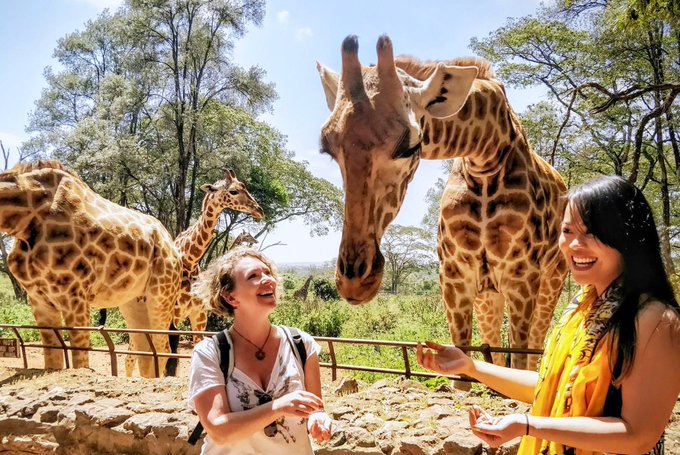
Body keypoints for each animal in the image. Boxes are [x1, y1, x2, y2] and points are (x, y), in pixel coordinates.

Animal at [0, 160, 182, 377]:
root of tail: (171, 242)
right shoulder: (38, 298)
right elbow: (53, 357)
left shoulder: (75, 295)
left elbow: (80, 357)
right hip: (133, 301)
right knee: (144, 349)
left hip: (162, 293)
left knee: (162, 347)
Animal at [172, 169, 263, 343]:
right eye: (233, 191)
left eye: (244, 186)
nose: (259, 210)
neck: (190, 260)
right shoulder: (172, 315)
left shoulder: (200, 315)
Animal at [317, 35, 567, 370]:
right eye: (327, 147)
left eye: (410, 146)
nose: (354, 283)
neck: (485, 158)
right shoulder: (454, 277)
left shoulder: (522, 277)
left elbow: (521, 358)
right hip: (489, 294)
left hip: (552, 280)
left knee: (536, 347)